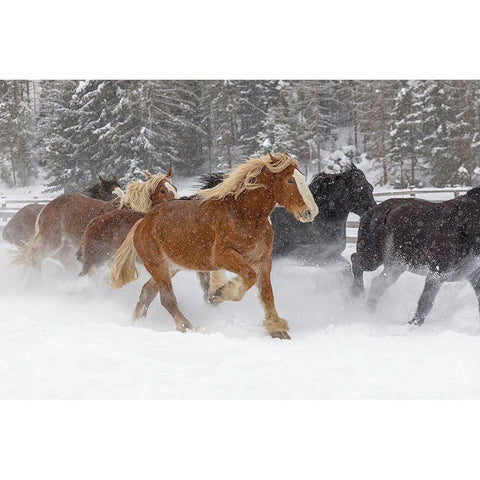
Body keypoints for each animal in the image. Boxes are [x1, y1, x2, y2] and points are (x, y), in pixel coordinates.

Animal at [14, 170, 178, 274]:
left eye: (175, 188)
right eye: (162, 190)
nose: (177, 205)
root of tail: (46, 208)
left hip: (67, 245)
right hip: (52, 240)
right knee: (36, 255)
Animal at [109, 153, 318, 338]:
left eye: (302, 177)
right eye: (290, 180)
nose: (311, 211)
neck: (245, 215)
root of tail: (143, 221)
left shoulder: (263, 259)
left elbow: (267, 293)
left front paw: (277, 329)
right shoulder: (223, 257)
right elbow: (248, 277)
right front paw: (219, 293)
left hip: (170, 267)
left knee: (147, 293)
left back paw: (137, 323)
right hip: (157, 265)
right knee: (166, 299)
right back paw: (189, 327)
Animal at [350, 189, 480, 328]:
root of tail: (373, 210)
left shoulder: (475, 276)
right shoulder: (437, 274)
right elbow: (425, 302)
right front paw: (413, 324)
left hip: (396, 265)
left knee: (377, 284)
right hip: (373, 259)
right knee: (356, 261)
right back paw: (357, 295)